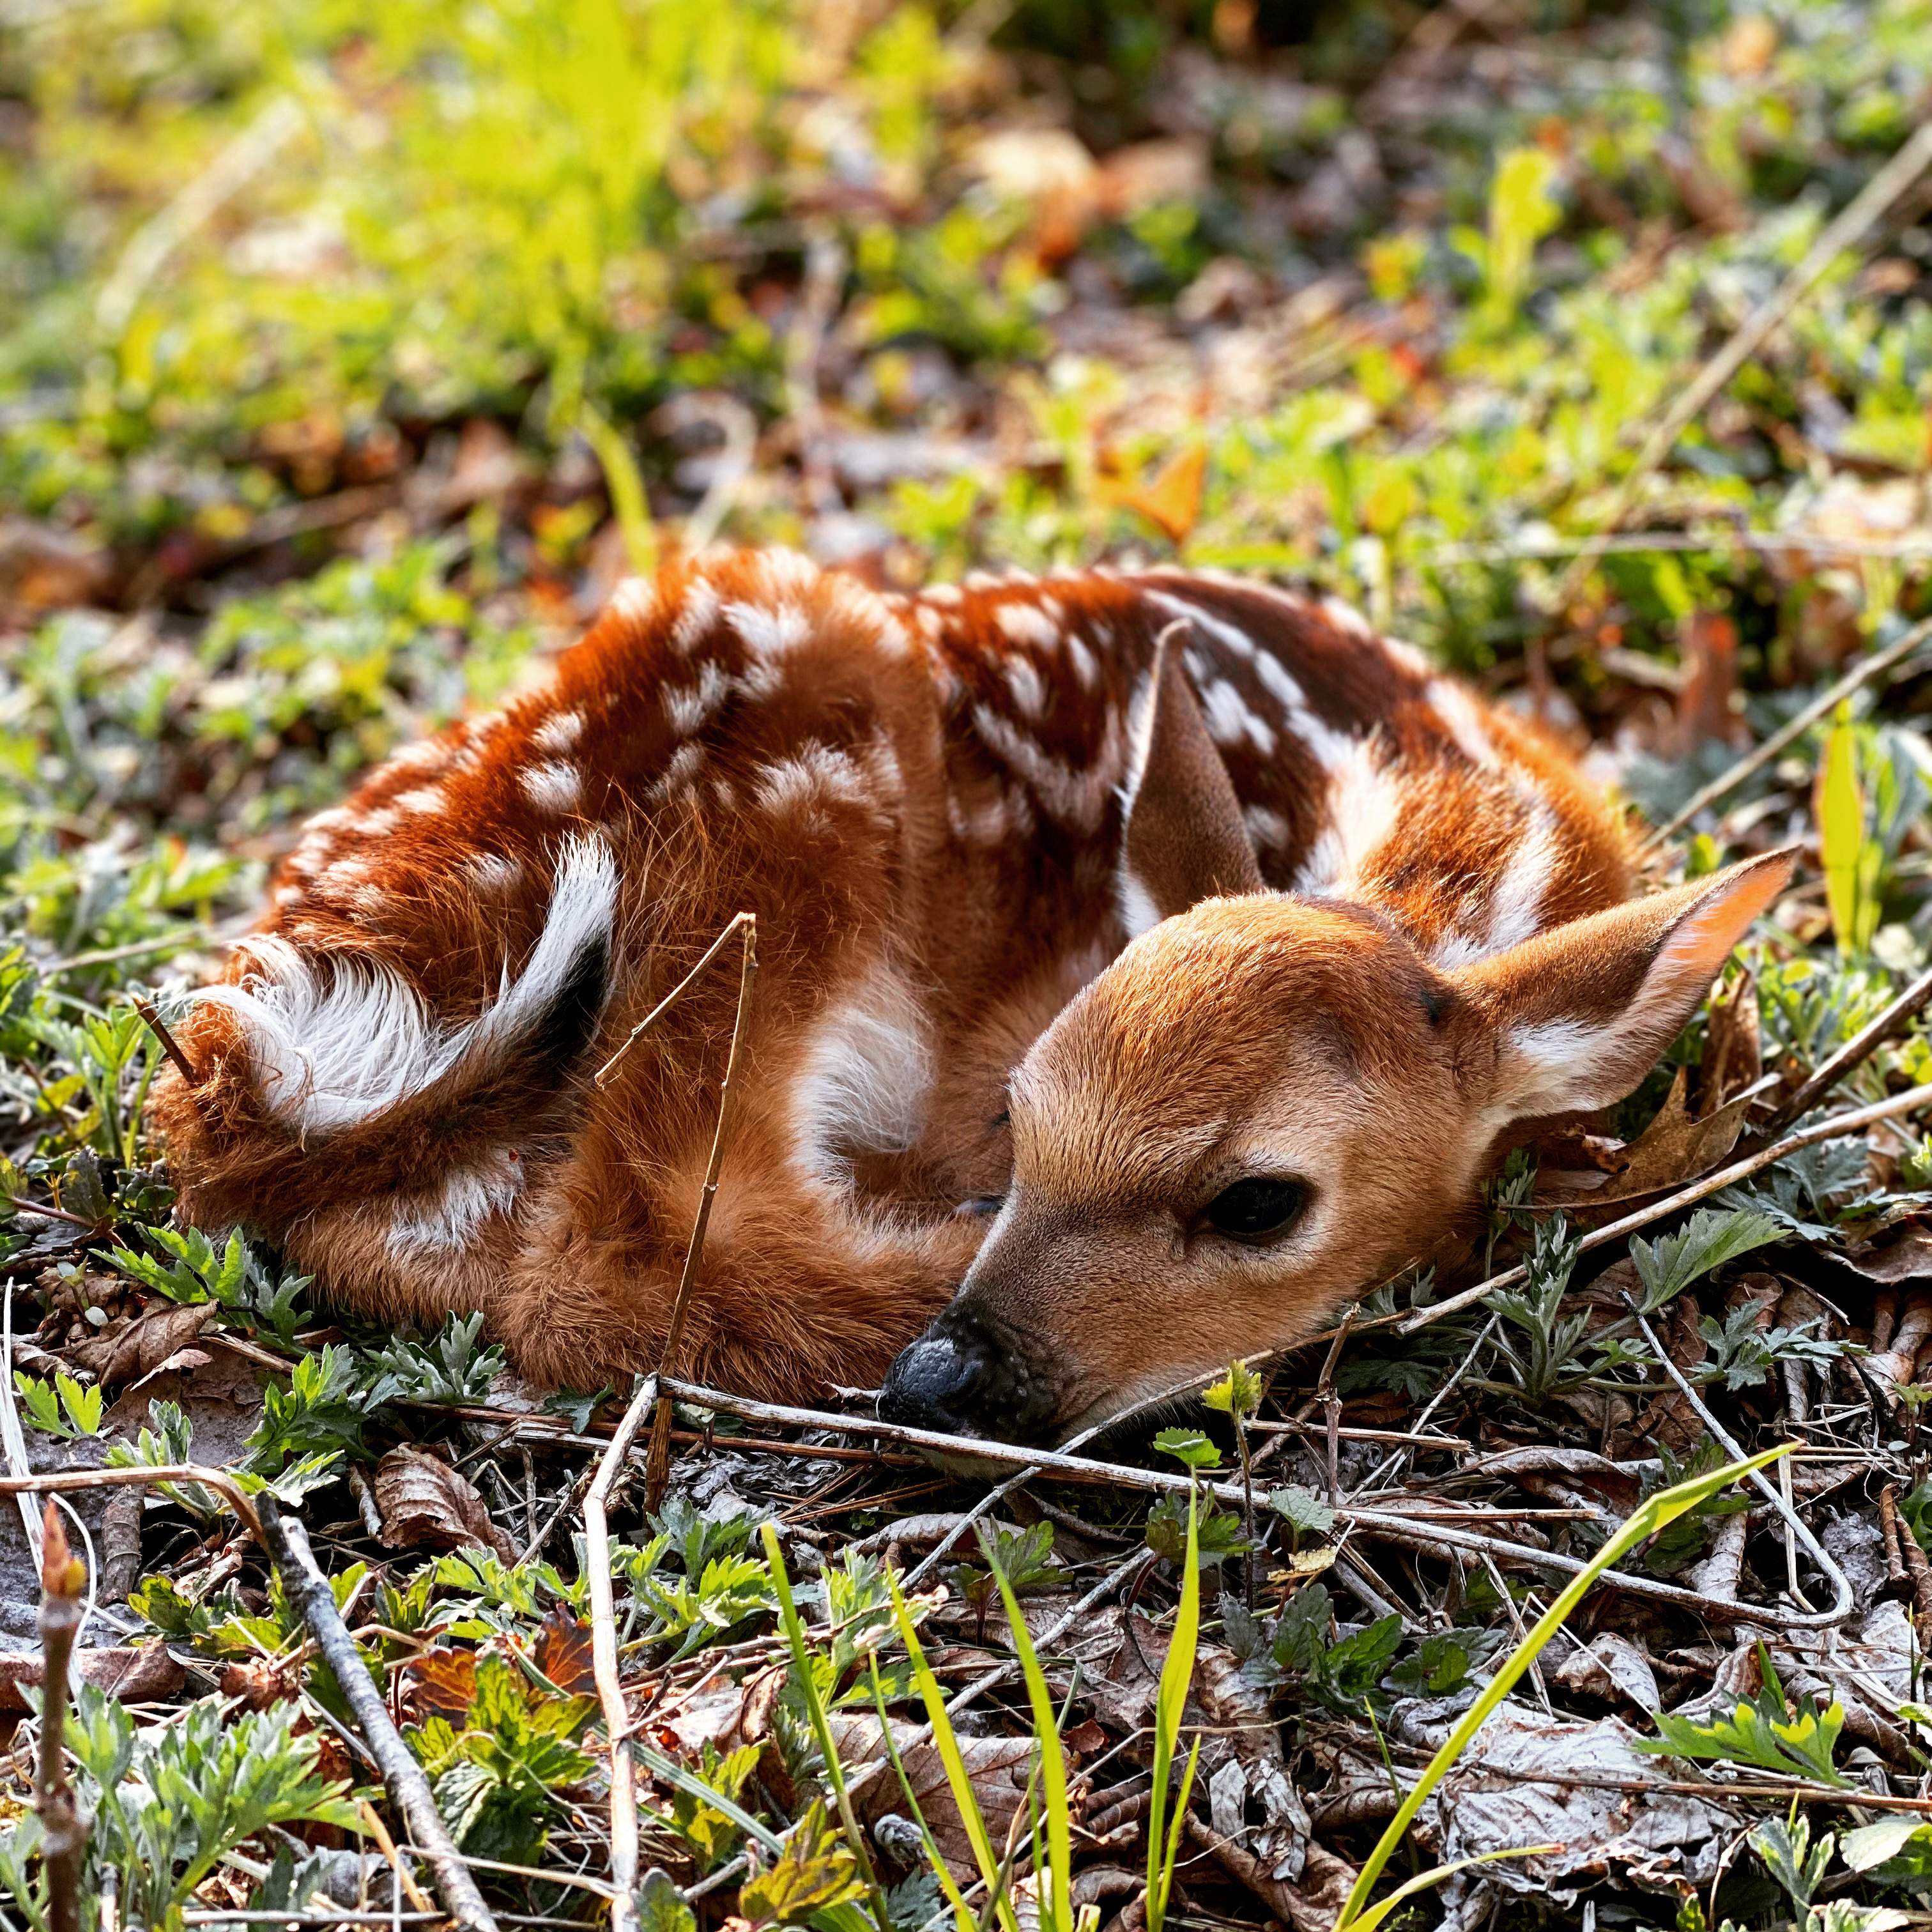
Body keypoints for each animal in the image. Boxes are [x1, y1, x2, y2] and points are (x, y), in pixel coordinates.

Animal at [148, 548, 1793, 1444]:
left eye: (1260, 1200)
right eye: (1021, 1114)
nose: (946, 1376)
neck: (1472, 848)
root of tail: (249, 1090)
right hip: (803, 752)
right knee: (621, 1247)